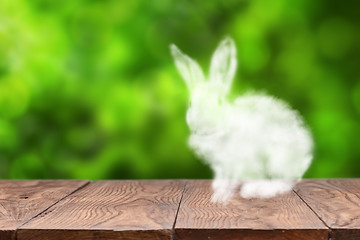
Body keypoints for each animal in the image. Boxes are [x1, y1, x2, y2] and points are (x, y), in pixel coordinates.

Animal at [169, 37, 312, 202]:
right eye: (191, 103)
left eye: (219, 101)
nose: (199, 123)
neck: (216, 134)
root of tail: (305, 158)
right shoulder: (220, 167)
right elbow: (221, 177)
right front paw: (217, 187)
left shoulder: (236, 162)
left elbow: (230, 179)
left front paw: (220, 197)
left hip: (276, 160)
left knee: (285, 182)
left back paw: (255, 190)